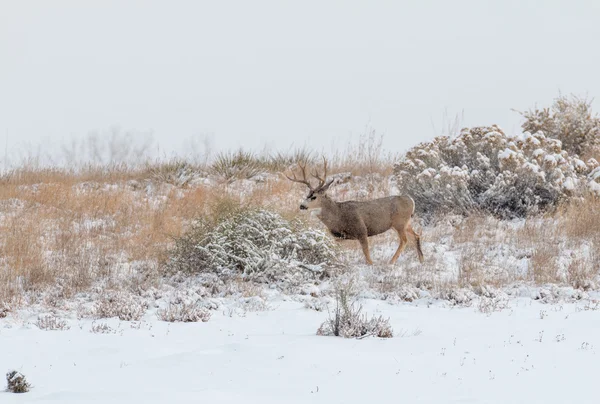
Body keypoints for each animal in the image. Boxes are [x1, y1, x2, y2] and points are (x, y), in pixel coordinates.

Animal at [284, 159, 422, 266]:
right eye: (307, 194)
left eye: (314, 197)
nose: (302, 206)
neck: (338, 215)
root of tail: (411, 200)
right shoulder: (340, 237)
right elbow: (334, 248)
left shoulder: (362, 230)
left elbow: (367, 256)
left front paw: (371, 264)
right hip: (406, 223)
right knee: (416, 235)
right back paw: (421, 260)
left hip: (399, 223)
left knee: (404, 240)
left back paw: (391, 262)